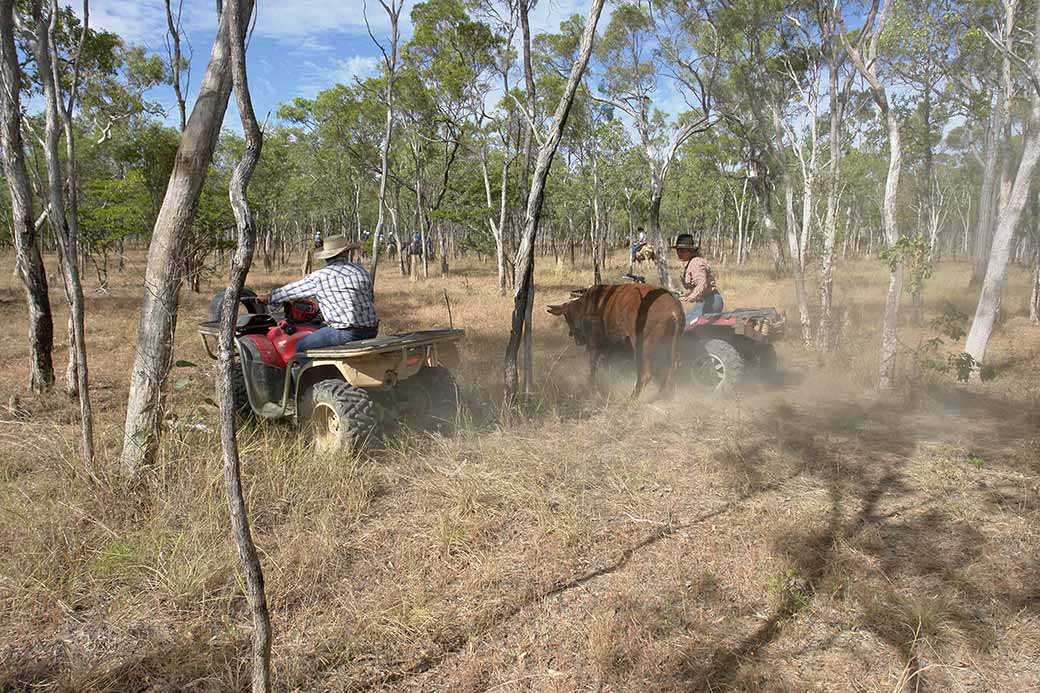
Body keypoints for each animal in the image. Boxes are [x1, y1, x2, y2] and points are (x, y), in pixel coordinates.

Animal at [546, 283, 684, 399]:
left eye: (567, 317)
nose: (578, 340)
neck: (587, 306)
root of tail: (673, 308)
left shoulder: (594, 342)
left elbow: (593, 364)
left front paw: (591, 385)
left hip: (642, 345)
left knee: (645, 374)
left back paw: (632, 397)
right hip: (670, 343)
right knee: (672, 366)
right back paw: (663, 392)